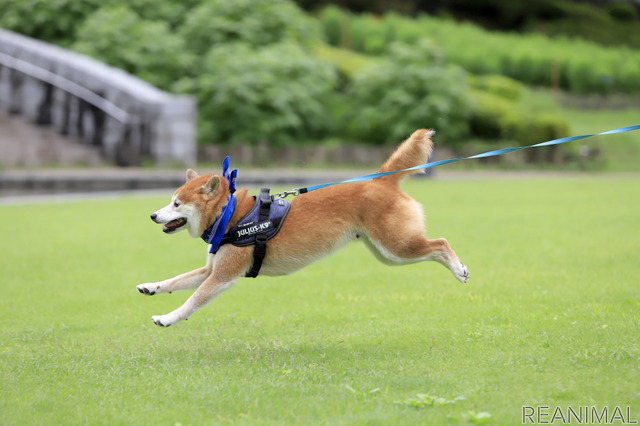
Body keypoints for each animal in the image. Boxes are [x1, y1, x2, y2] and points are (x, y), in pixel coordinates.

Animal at [139, 129, 470, 326]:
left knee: (441, 243)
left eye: (176, 204)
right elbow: (175, 281)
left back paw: (459, 270)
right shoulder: (211, 269)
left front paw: (168, 317)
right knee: (433, 248)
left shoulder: (223, 276)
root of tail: (381, 180)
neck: (231, 215)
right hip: (387, 254)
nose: (153, 215)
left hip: (396, 247)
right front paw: (151, 287)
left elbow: (191, 301)